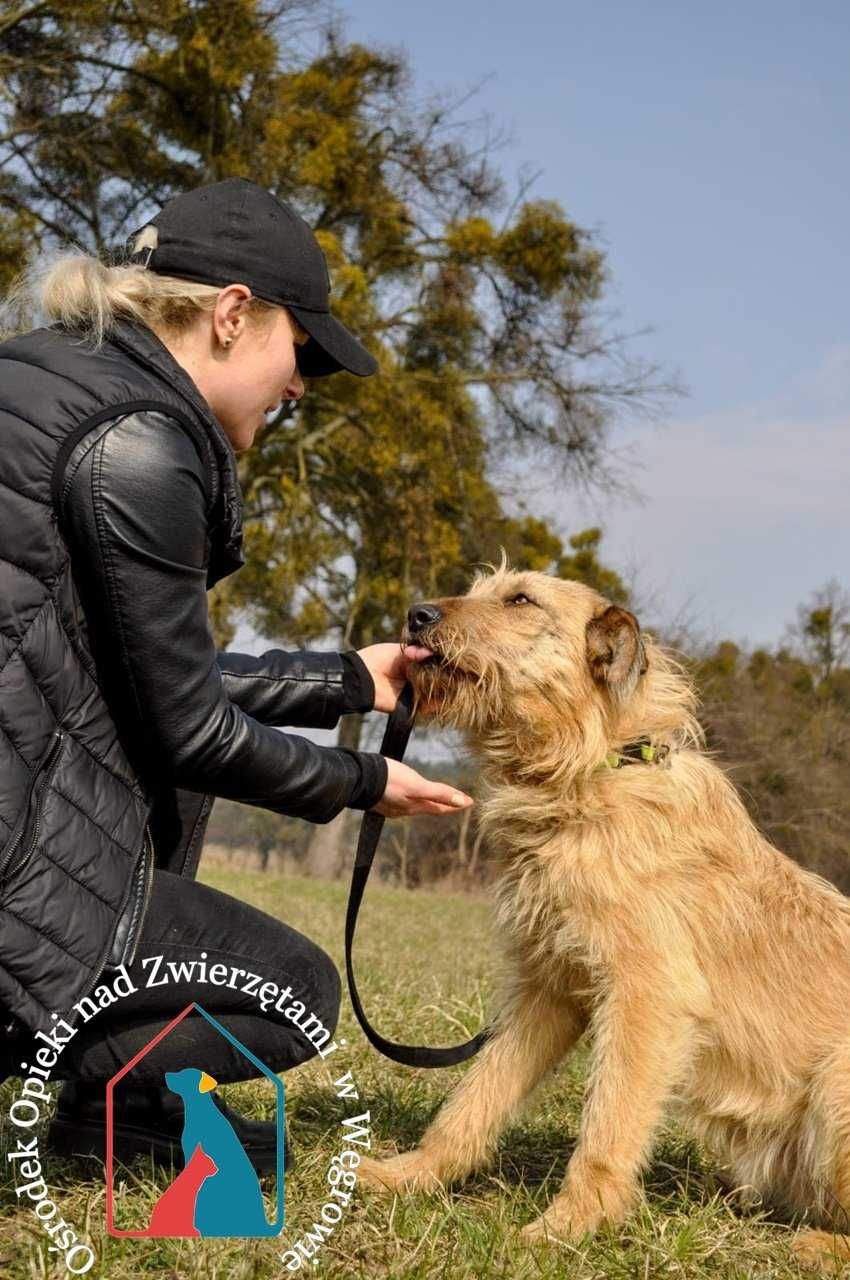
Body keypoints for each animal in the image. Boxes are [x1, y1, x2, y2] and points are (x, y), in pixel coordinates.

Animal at [355, 558, 850, 1269]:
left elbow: (607, 1126)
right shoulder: (550, 989)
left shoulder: (648, 997)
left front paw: (566, 1229)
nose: (415, 614)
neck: (589, 772)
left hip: (838, 1081)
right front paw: (413, 1176)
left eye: (521, 600)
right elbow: (475, 1097)